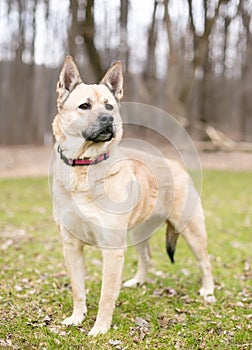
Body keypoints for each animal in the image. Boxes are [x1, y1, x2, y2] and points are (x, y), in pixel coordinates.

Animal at [51, 55, 215, 336]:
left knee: (205, 260)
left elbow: (106, 295)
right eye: (85, 106)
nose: (108, 119)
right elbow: (78, 289)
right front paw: (77, 317)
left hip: (191, 229)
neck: (84, 166)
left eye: (109, 106)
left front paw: (100, 328)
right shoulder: (71, 246)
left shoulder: (112, 250)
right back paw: (138, 281)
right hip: (139, 232)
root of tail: (177, 164)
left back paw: (208, 290)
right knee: (146, 258)